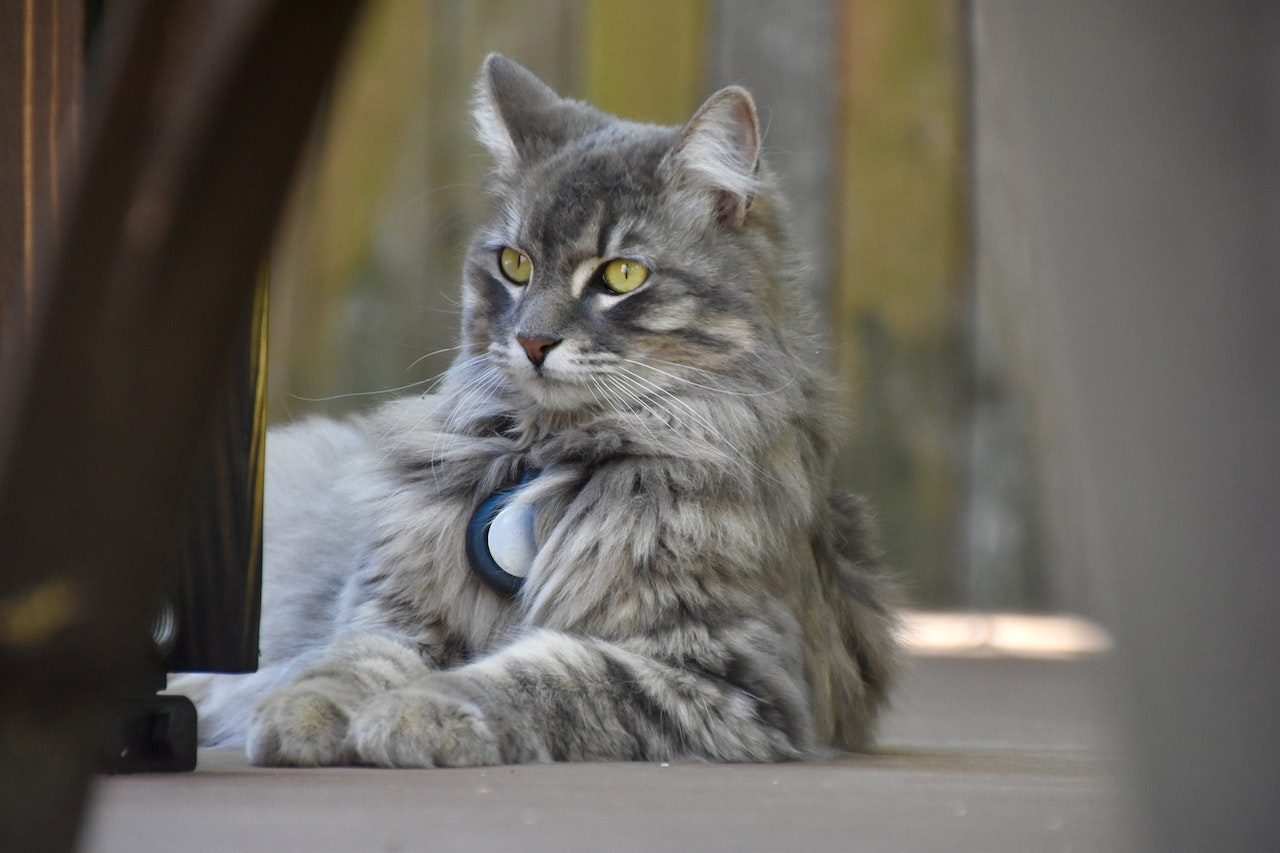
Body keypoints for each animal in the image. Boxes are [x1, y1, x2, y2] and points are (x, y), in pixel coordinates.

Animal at [175, 56, 901, 768]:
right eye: (514, 264)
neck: (553, 449)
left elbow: (536, 676)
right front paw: (304, 710)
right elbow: (350, 660)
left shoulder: (725, 677)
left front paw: (417, 711)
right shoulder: (391, 609)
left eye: (622, 276)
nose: (531, 341)